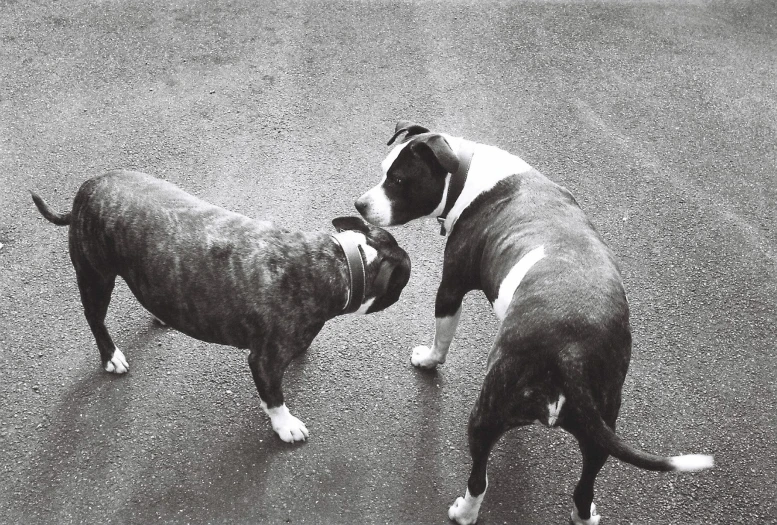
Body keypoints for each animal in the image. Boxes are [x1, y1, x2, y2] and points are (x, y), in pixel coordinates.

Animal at [354, 121, 712, 520]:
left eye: (399, 180)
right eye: (384, 169)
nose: (360, 204)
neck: (468, 173)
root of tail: (572, 349)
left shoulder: (450, 287)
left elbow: (442, 336)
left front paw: (429, 360)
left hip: (485, 416)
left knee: (480, 478)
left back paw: (464, 512)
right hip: (599, 432)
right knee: (584, 488)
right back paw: (583, 516)